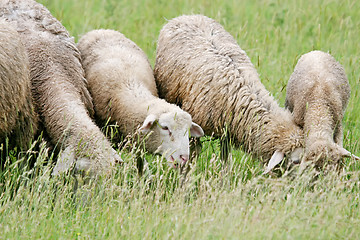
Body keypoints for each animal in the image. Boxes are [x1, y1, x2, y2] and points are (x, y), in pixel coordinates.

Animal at [154, 14, 304, 172]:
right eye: (295, 161)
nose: (306, 178)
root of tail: (186, 16)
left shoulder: (227, 131)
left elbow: (225, 159)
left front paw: (224, 176)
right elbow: (192, 154)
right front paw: (186, 175)